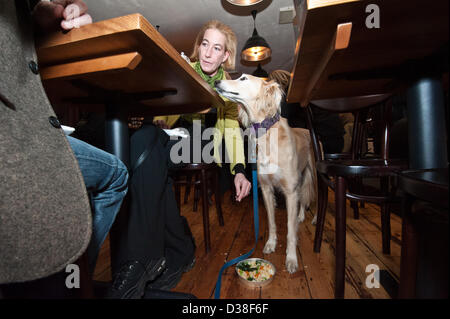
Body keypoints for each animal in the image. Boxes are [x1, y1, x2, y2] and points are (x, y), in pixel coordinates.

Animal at [215, 74, 316, 274]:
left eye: (243, 78)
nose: (216, 82)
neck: (267, 135)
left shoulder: (290, 192)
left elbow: (290, 231)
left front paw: (291, 258)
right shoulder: (266, 189)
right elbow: (271, 221)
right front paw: (271, 243)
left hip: (314, 176)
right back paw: (301, 215)